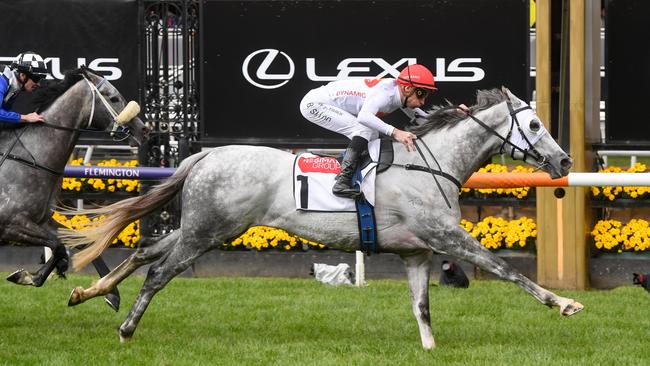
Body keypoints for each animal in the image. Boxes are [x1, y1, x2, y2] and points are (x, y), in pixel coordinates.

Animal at [0, 66, 146, 298]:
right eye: (114, 98)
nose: (144, 129)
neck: (30, 157)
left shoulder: (42, 220)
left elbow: (76, 241)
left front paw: (111, 294)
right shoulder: (10, 223)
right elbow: (58, 246)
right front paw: (31, 276)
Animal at [67, 87, 584, 348]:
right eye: (534, 124)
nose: (564, 161)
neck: (431, 163)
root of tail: (204, 155)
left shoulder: (417, 253)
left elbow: (421, 307)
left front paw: (430, 350)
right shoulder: (447, 237)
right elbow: (506, 269)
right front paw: (564, 303)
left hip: (201, 228)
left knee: (143, 250)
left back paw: (88, 292)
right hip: (208, 231)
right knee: (157, 271)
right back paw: (126, 328)